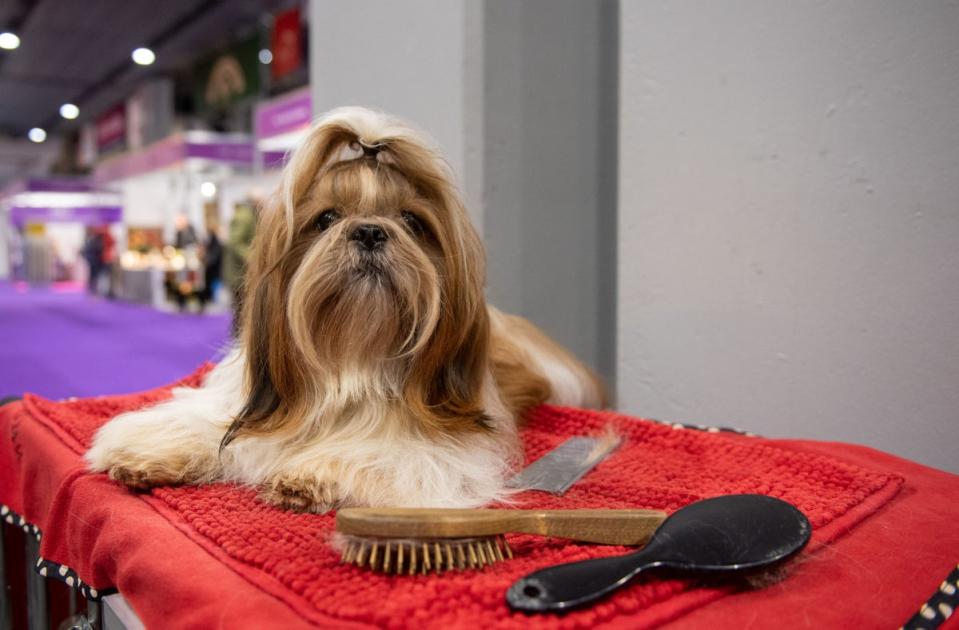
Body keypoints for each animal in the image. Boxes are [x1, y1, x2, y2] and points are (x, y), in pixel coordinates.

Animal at [86, 108, 604, 512]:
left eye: (412, 221)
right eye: (327, 218)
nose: (371, 231)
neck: (351, 357)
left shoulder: (448, 447)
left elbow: (384, 452)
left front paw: (314, 473)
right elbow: (202, 422)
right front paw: (147, 451)